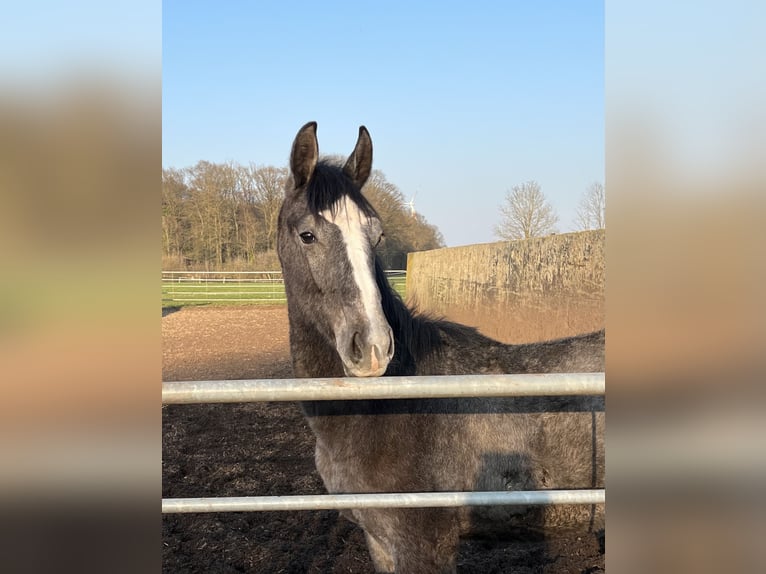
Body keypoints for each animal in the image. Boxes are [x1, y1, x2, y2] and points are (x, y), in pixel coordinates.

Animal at [276, 119, 608, 572]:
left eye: (377, 236)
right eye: (307, 235)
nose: (374, 346)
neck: (387, 409)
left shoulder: (423, 543)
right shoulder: (381, 542)